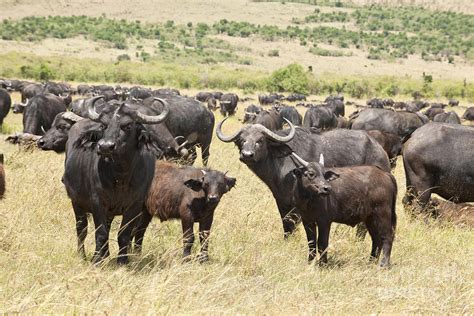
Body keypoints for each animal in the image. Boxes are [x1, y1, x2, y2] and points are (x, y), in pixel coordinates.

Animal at [61, 96, 168, 264]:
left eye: (128, 125)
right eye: (103, 125)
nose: (105, 146)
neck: (120, 177)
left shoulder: (135, 206)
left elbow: (124, 234)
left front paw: (122, 260)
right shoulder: (97, 202)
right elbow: (101, 233)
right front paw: (97, 259)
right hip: (76, 202)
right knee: (81, 228)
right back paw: (84, 255)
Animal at [217, 119, 390, 237]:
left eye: (260, 140)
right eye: (242, 140)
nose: (247, 155)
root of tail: (380, 150)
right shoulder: (282, 201)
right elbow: (286, 225)